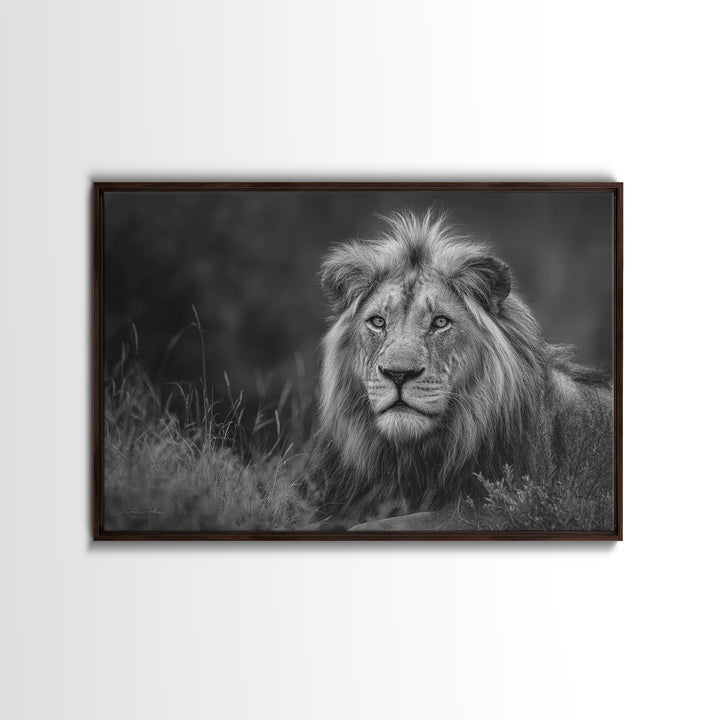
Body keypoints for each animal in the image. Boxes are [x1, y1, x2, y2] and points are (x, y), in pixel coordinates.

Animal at [305, 209, 614, 531]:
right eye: (378, 322)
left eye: (440, 322)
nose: (398, 374)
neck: (409, 459)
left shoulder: (493, 510)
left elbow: (381, 525)